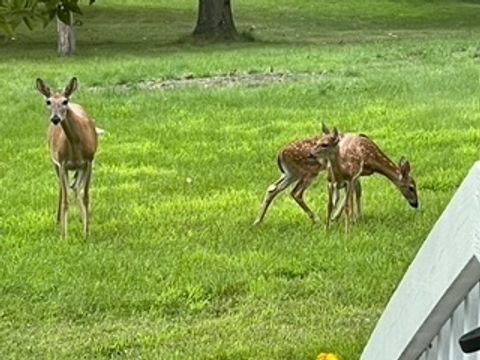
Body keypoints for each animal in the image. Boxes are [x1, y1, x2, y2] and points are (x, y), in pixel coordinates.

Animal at [36, 77, 99, 238]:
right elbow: (65, 200)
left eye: (65, 101)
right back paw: (58, 221)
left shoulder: (89, 161)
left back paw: (82, 220)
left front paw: (86, 232)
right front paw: (64, 236)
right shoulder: (62, 163)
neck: (75, 145)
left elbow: (86, 196)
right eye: (48, 101)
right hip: (55, 163)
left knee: (75, 187)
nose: (55, 118)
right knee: (62, 188)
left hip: (80, 168)